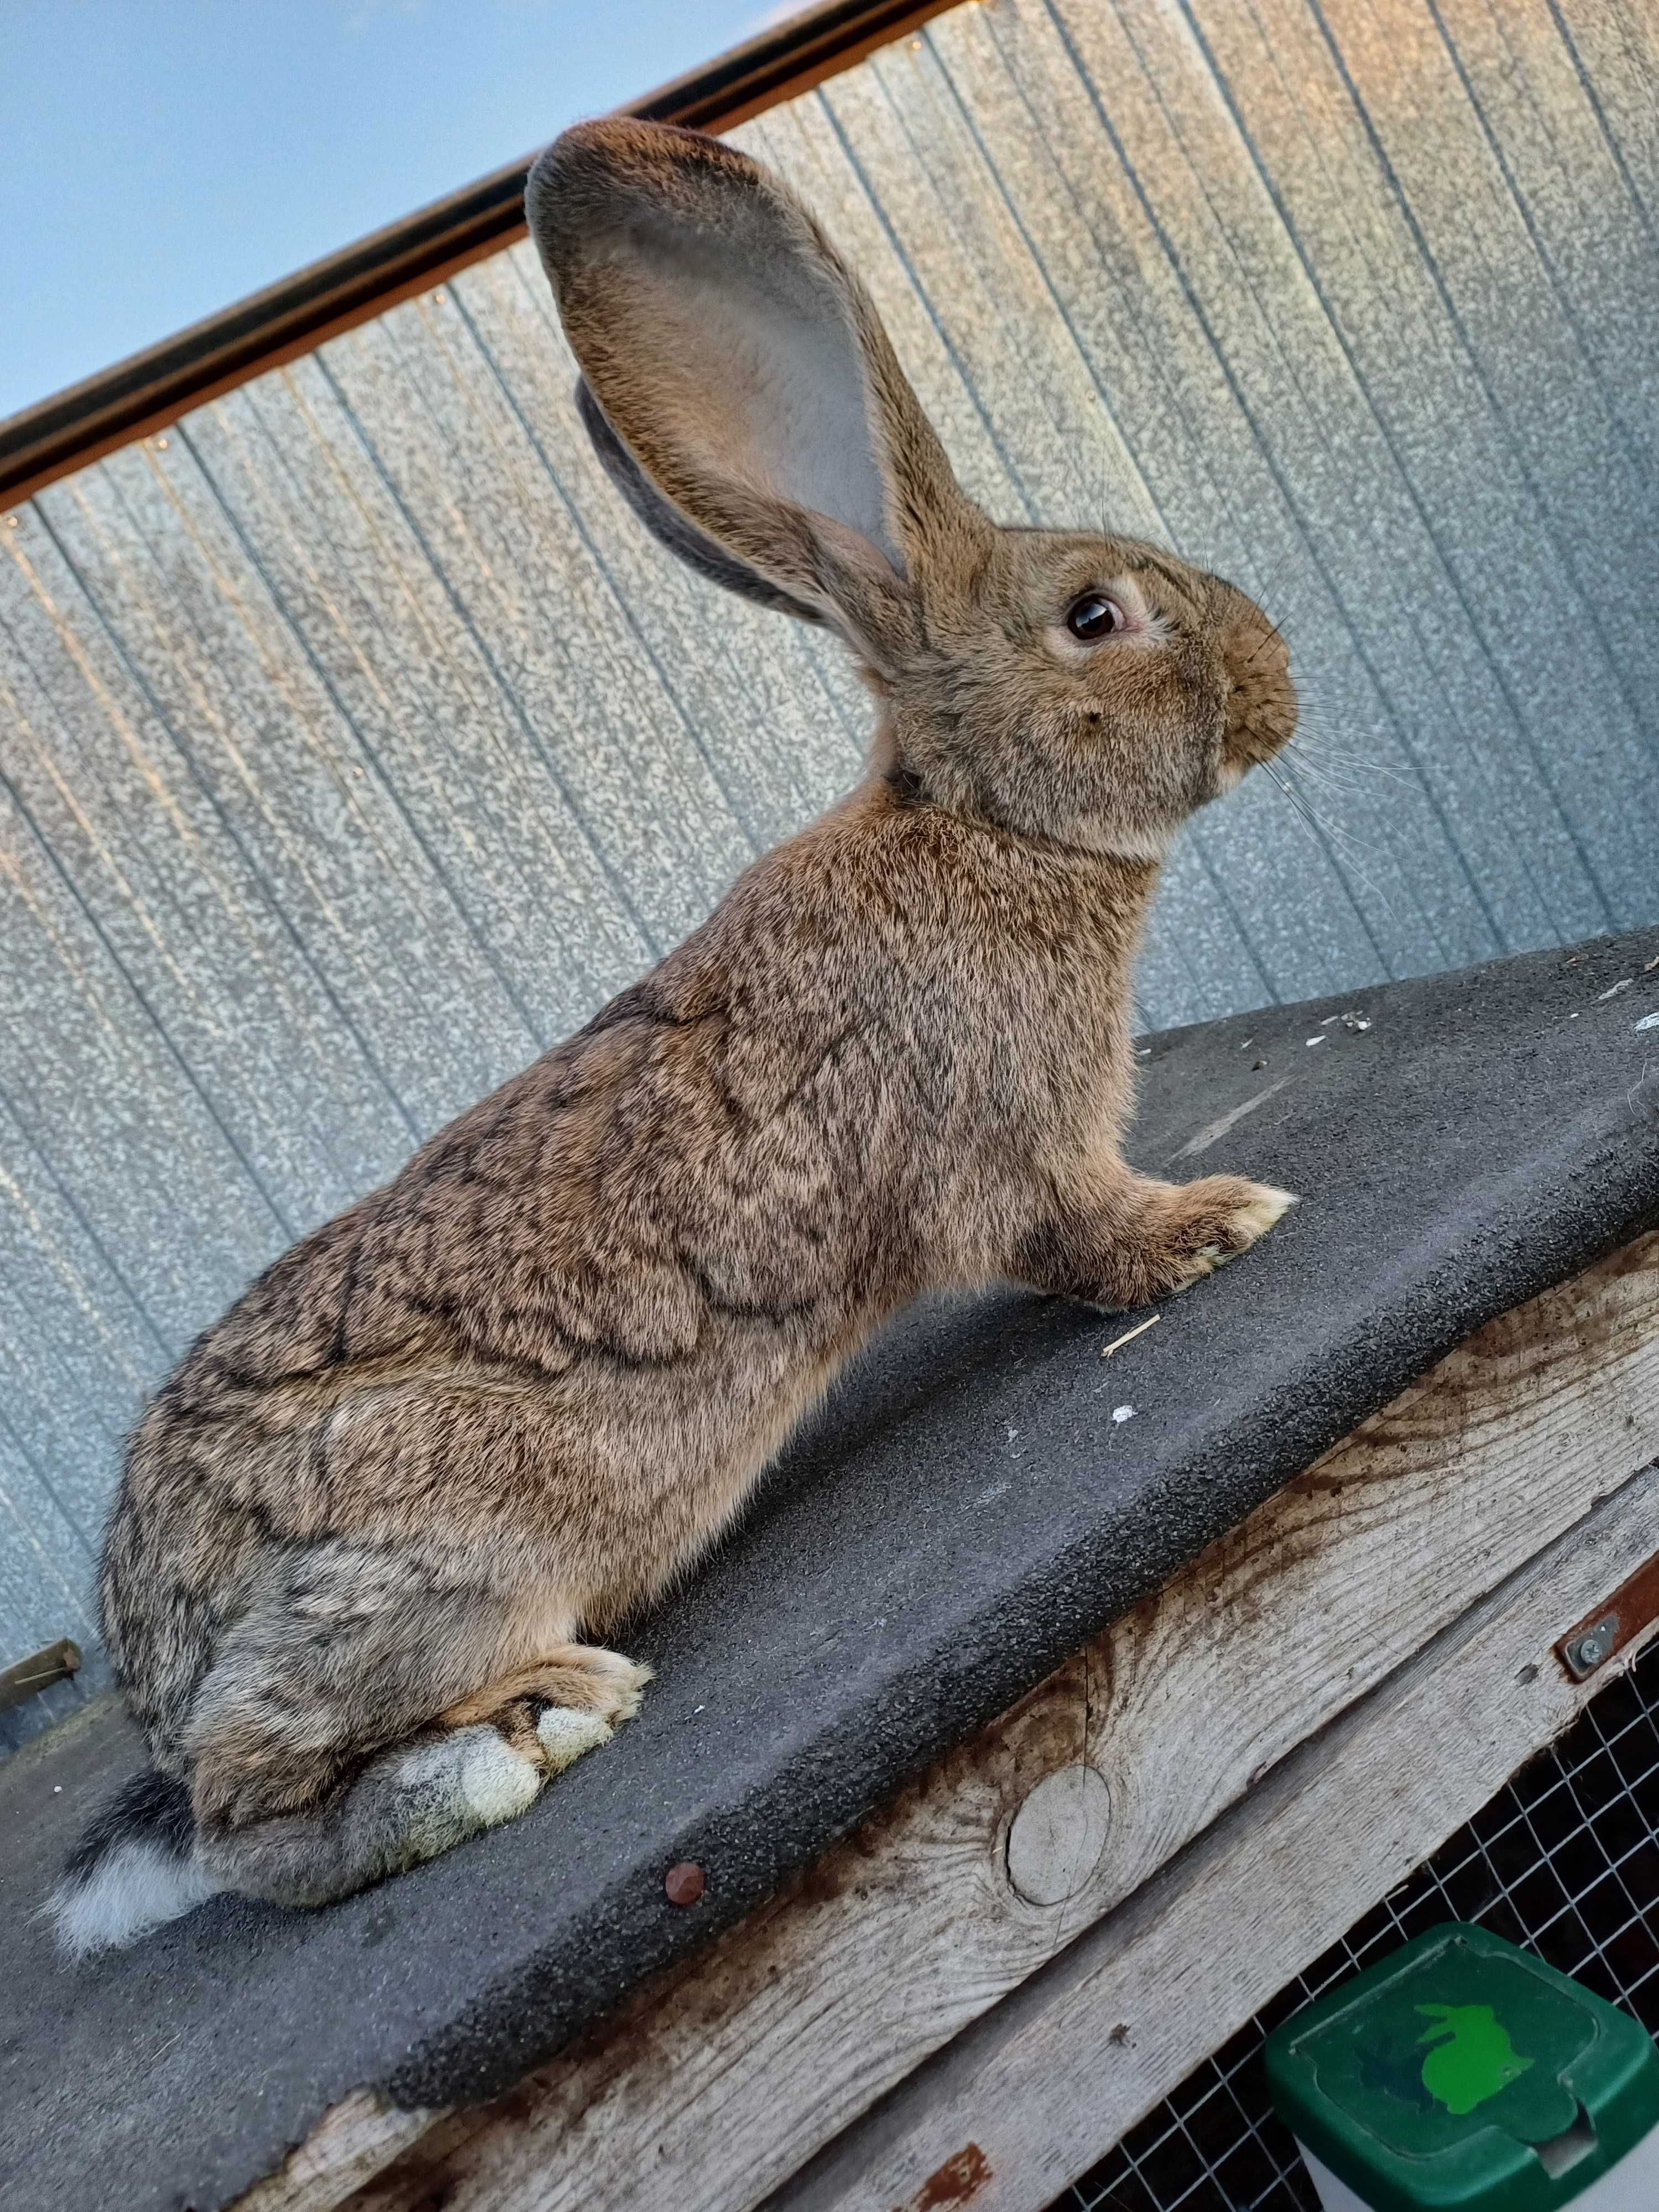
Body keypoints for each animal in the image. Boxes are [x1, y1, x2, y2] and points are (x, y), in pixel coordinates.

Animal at [52, 117, 1301, 1955]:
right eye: (1096, 615)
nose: (1280, 683)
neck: (982, 828)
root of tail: (158, 1677)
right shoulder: (1014, 1147)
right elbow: (1083, 1233)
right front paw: (1221, 1223)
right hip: (452, 1554)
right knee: (254, 1828)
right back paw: (517, 1740)